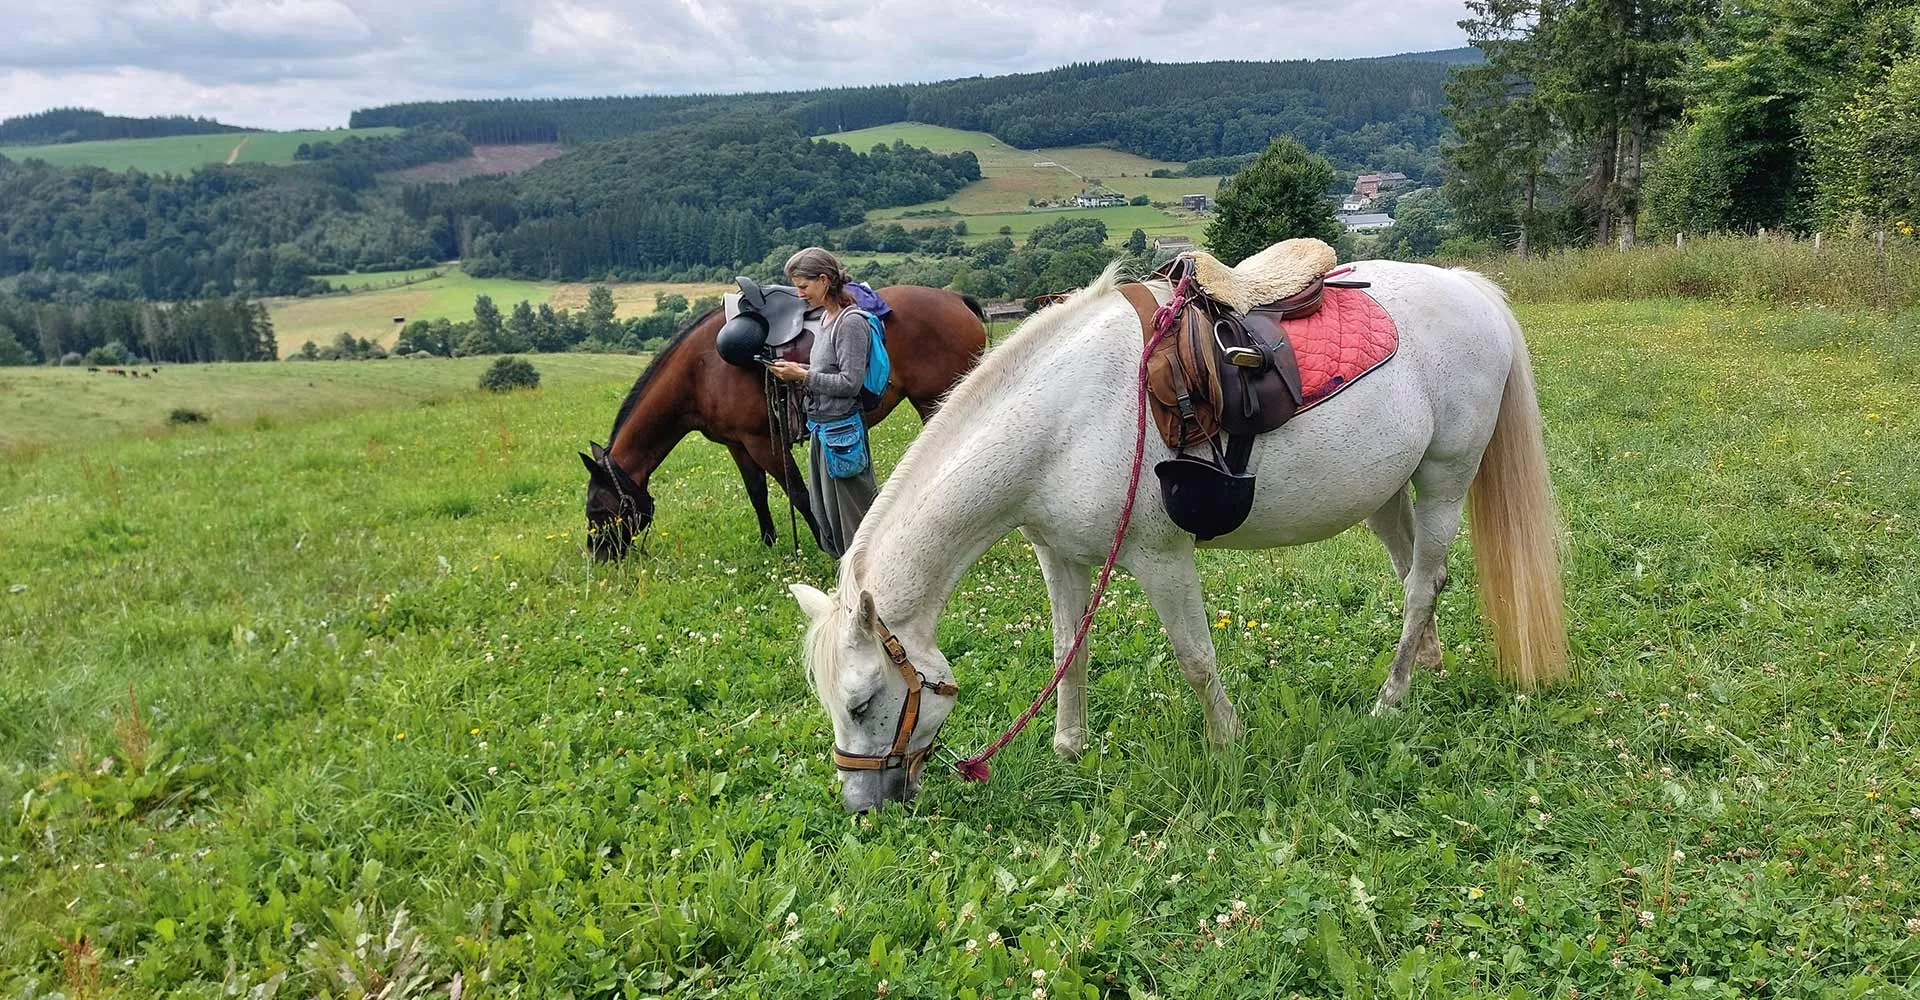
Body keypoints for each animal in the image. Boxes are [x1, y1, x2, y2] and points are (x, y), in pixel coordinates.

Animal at [582, 285, 987, 560]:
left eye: (598, 510)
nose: (599, 555)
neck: (701, 369)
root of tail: (957, 299)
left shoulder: (763, 442)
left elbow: (799, 493)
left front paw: (827, 547)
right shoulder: (738, 444)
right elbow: (756, 493)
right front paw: (768, 542)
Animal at [790, 261, 1569, 812]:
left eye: (861, 703)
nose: (862, 806)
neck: (1061, 419)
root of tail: (1470, 287)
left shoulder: (1159, 557)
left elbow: (1195, 657)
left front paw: (1227, 745)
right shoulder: (1060, 556)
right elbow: (1068, 654)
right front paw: (1068, 750)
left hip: (1445, 477)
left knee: (1419, 585)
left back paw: (1390, 699)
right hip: (1384, 491)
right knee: (1419, 577)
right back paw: (1426, 668)